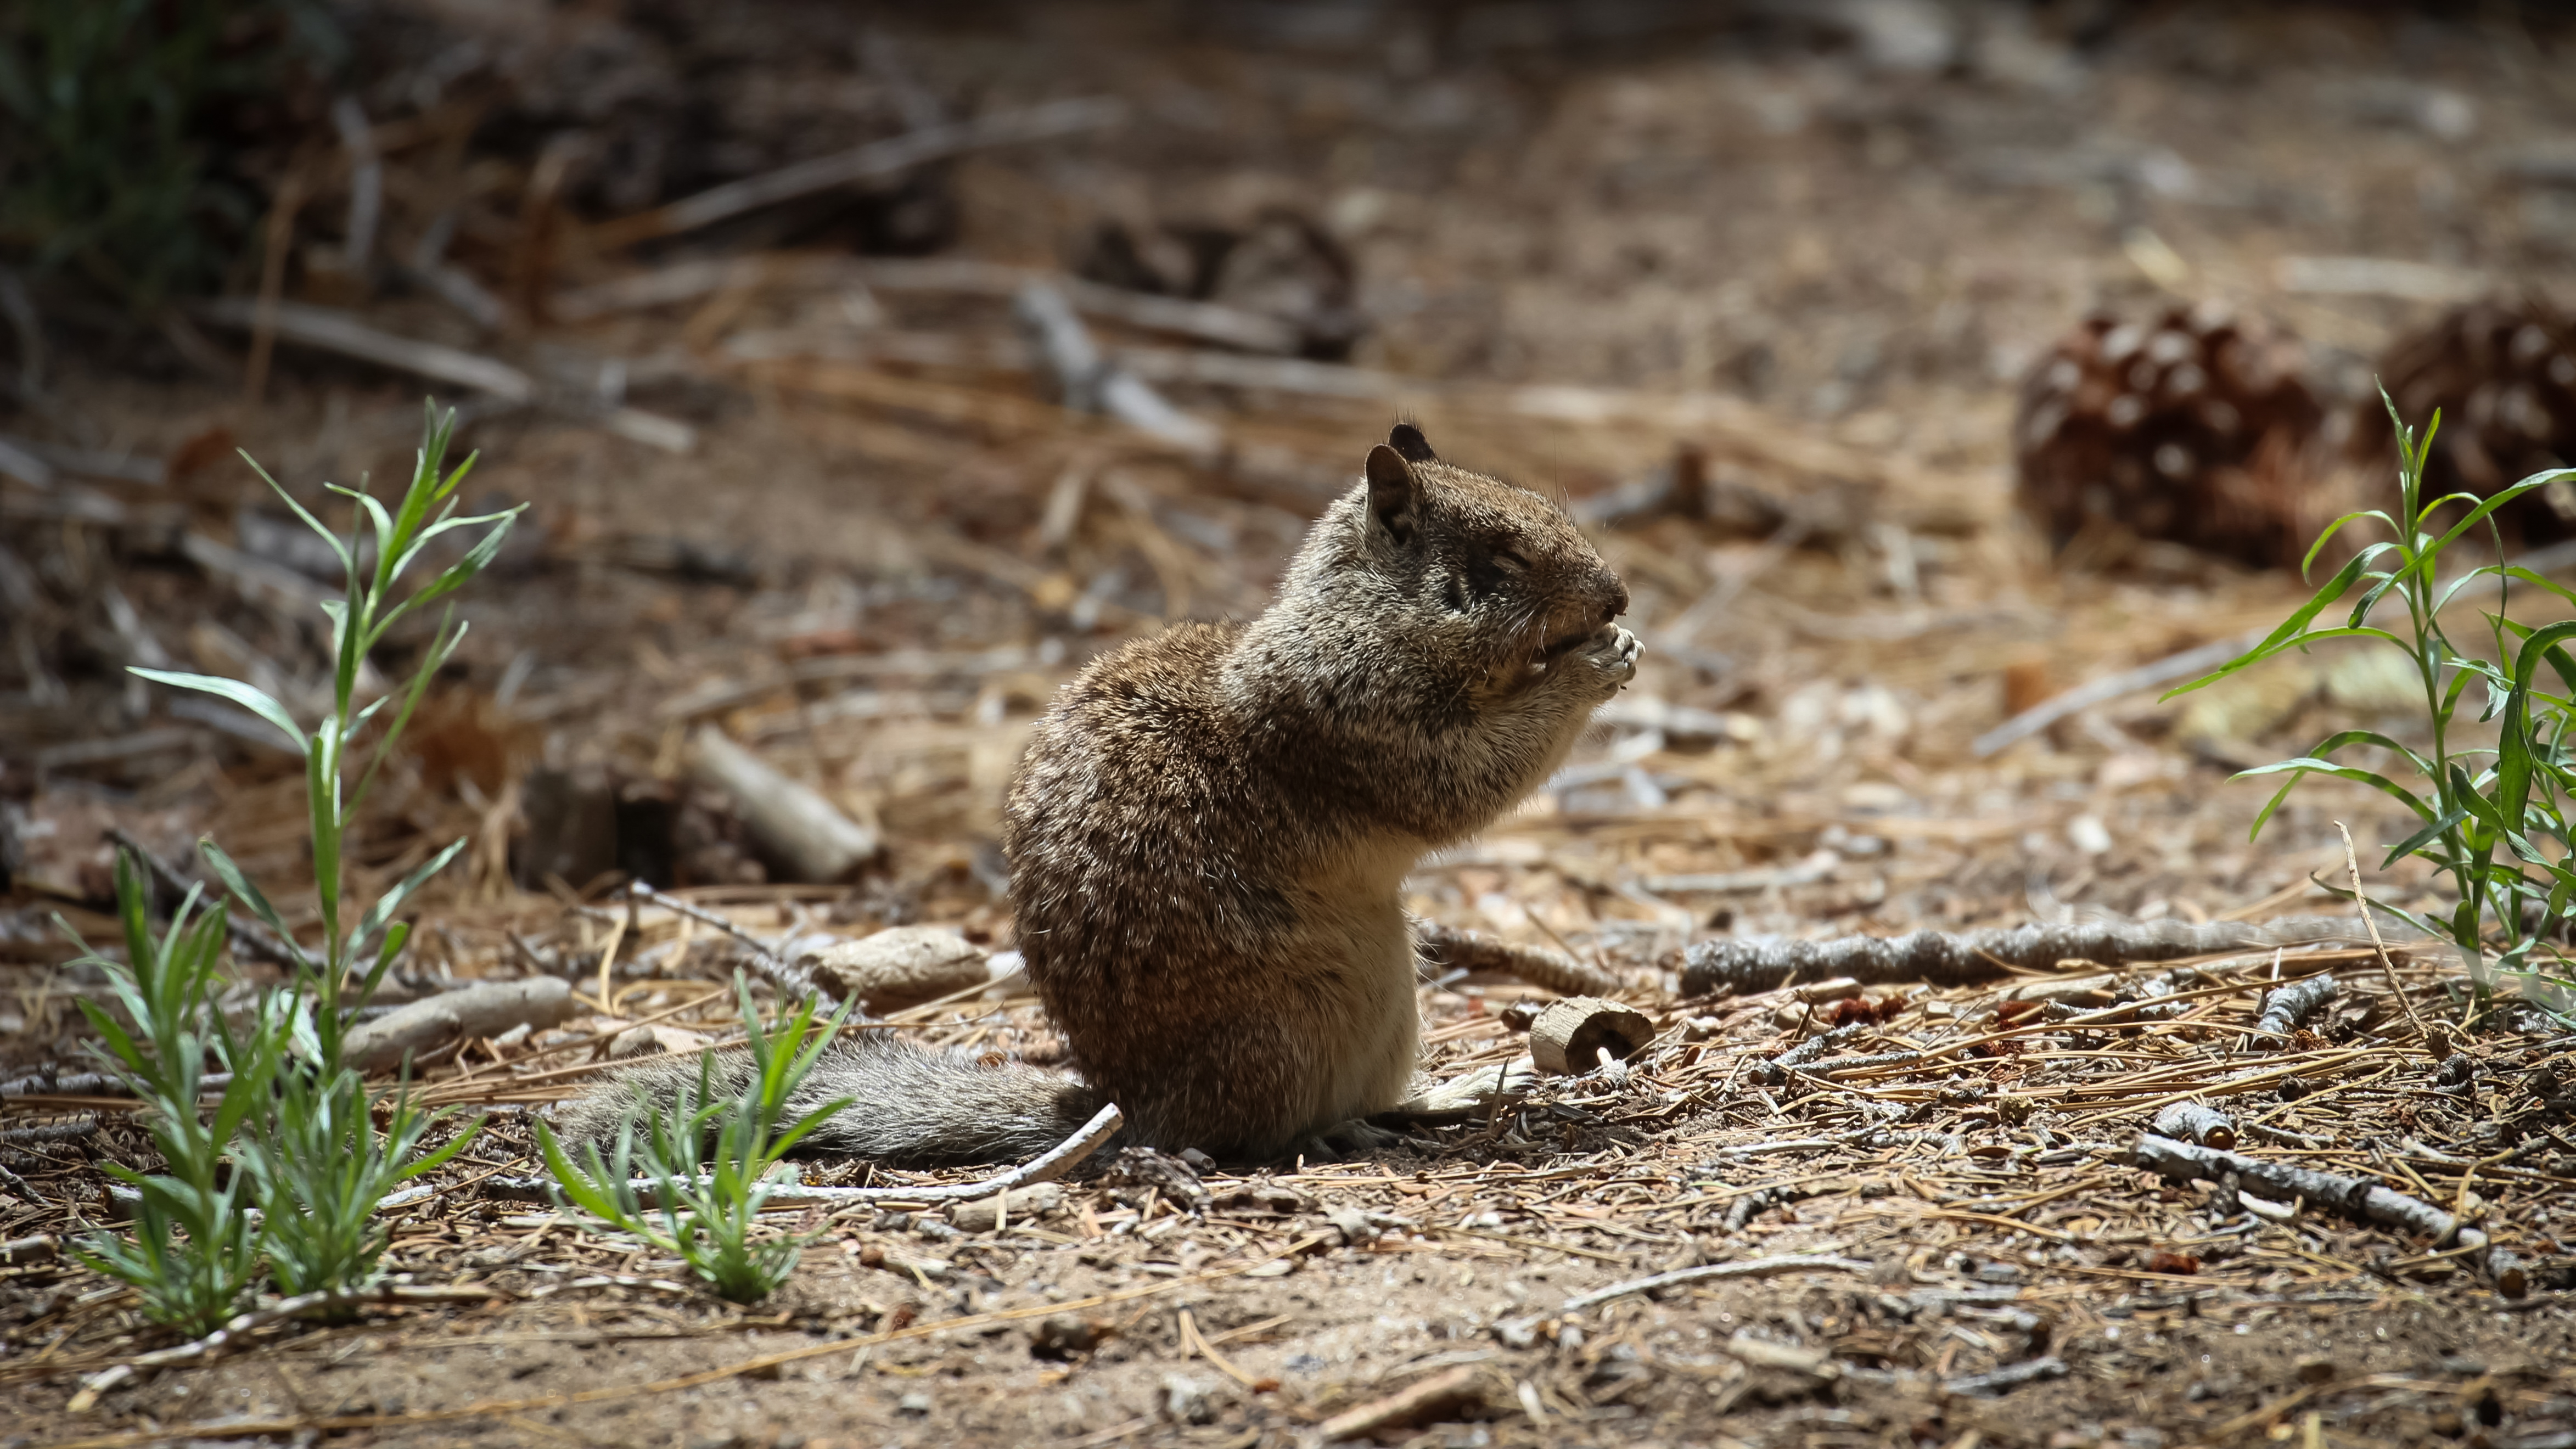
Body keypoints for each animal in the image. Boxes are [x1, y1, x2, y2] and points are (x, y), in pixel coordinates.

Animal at [558, 424, 1638, 1164]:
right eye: (1496, 563)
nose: (1620, 597)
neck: (1354, 615)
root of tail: (1131, 1103)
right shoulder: (1365, 722)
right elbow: (1466, 784)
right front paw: (1590, 667)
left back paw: (1450, 1094)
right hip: (1323, 1014)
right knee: (1266, 1128)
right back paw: (1344, 1136)